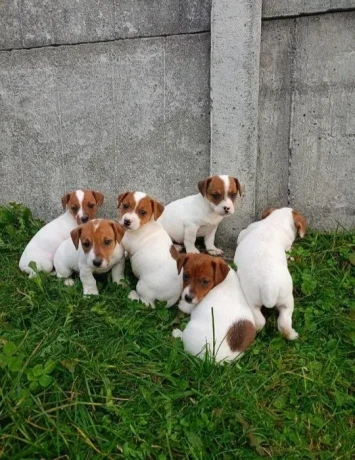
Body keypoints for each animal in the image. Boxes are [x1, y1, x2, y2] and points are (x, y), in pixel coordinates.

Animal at [235, 208, 308, 342]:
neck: (274, 223)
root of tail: (269, 287)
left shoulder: (245, 232)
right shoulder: (287, 247)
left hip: (251, 301)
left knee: (259, 322)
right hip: (287, 300)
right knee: (284, 322)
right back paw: (292, 334)